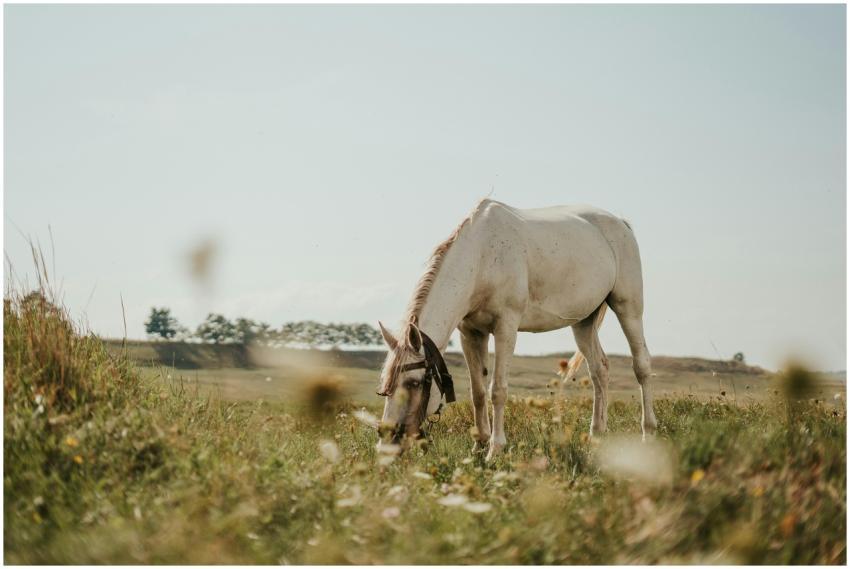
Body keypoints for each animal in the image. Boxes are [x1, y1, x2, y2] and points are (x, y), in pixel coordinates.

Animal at [376, 199, 657, 460]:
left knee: (641, 366)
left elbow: (497, 390)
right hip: (584, 322)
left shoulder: (506, 327)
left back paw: (648, 433)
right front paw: (479, 446)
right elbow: (478, 392)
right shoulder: (470, 333)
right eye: (386, 385)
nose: (386, 444)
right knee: (599, 371)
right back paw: (596, 435)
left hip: (628, 307)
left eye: (413, 383)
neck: (482, 257)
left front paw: (495, 449)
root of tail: (620, 223)